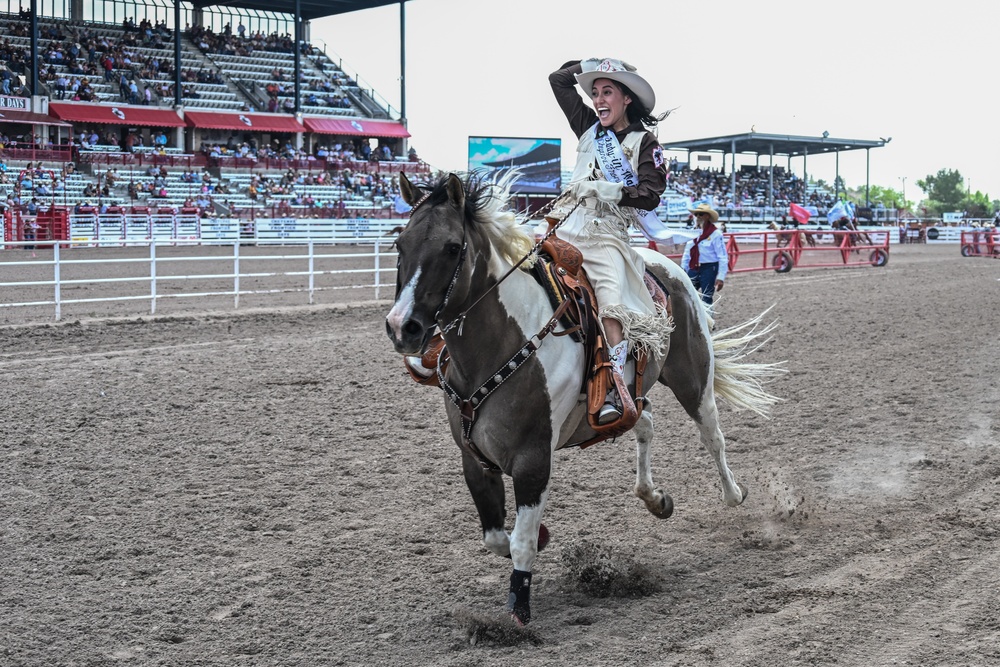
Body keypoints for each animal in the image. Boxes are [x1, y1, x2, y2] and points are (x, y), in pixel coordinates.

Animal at [382, 172, 780, 628]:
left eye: (452, 246)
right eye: (400, 244)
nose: (402, 327)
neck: (504, 342)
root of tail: (666, 265)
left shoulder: (533, 459)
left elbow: (519, 543)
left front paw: (517, 612)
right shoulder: (474, 459)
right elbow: (497, 537)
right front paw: (541, 538)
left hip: (693, 377)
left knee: (712, 435)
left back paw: (733, 494)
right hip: (635, 396)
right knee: (643, 423)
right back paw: (655, 497)